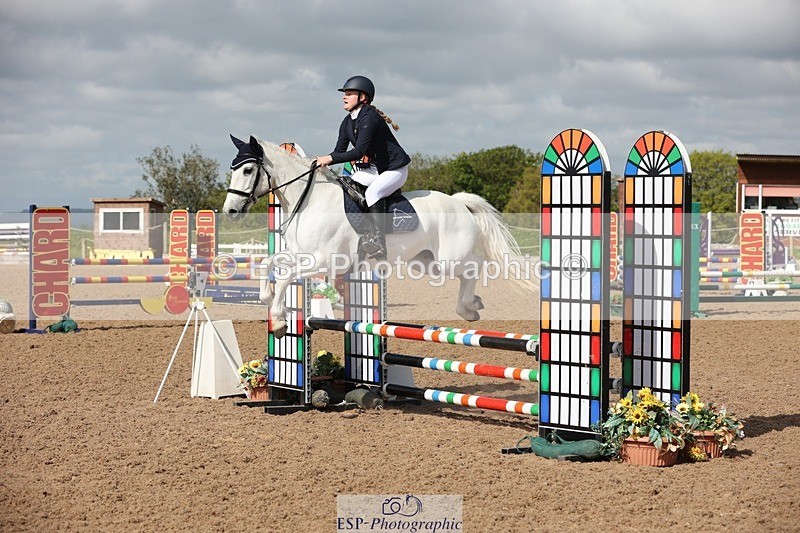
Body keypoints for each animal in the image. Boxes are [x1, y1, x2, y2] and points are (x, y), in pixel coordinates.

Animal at [223, 135, 533, 338]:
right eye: (233, 169)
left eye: (248, 170)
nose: (230, 211)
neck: (311, 199)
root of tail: (458, 202)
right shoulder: (301, 254)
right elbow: (269, 263)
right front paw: (266, 298)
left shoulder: (327, 261)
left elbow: (286, 275)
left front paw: (277, 320)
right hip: (426, 262)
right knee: (468, 271)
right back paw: (473, 304)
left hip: (449, 260)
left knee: (476, 266)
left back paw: (470, 307)